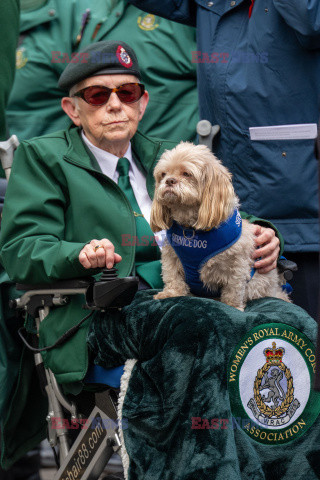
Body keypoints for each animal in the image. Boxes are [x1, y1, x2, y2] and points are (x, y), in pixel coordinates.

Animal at [150, 141, 290, 310]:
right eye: (163, 174)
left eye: (187, 174)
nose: (169, 180)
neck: (191, 230)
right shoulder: (172, 256)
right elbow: (172, 276)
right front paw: (171, 293)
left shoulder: (237, 264)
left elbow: (233, 287)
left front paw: (232, 306)